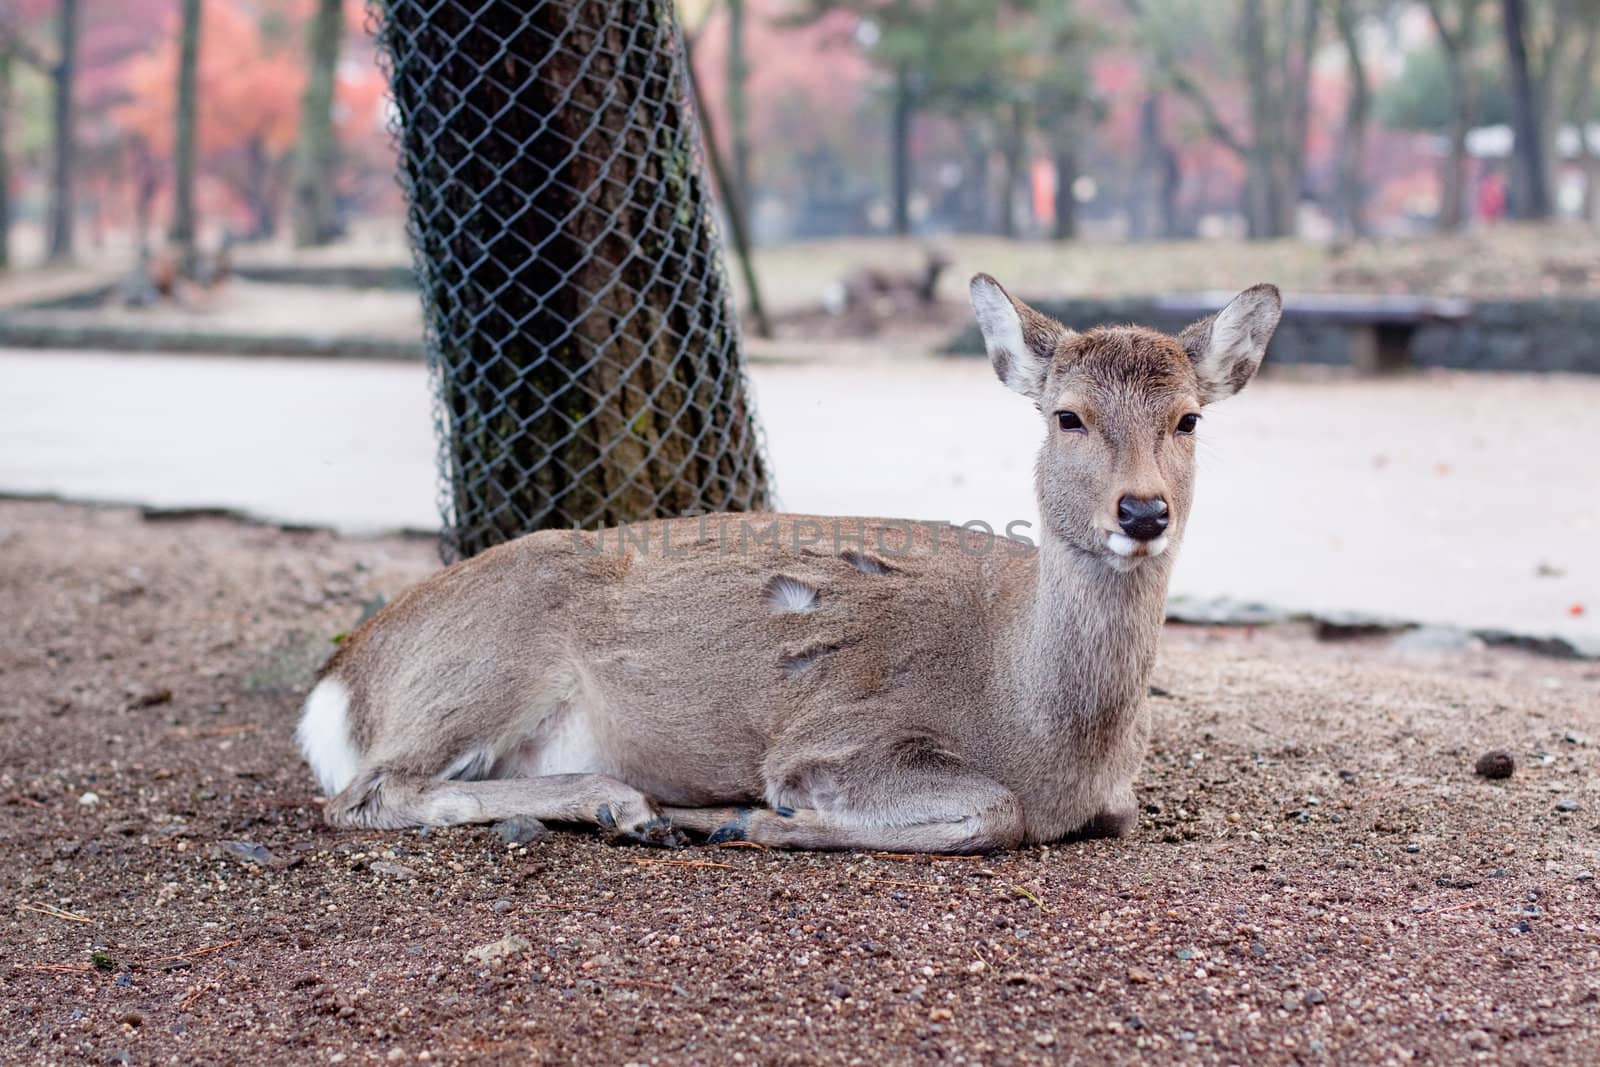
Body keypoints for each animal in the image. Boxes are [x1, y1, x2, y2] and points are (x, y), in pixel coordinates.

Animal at [294, 273, 1280, 851]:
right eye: (1066, 415)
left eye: (1189, 417)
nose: (1142, 510)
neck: (1048, 734)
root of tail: (339, 683)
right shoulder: (835, 736)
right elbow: (992, 812)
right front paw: (742, 816)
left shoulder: (1117, 795)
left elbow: (1105, 812)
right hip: (484, 661)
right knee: (364, 794)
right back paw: (626, 803)